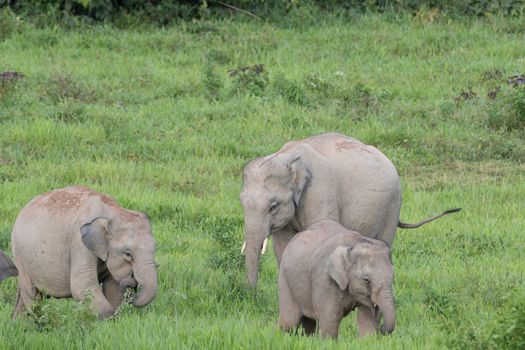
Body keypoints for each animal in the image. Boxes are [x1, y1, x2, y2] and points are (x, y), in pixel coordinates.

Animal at [8, 186, 157, 320]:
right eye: (128, 254)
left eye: (155, 249)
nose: (133, 281)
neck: (112, 211)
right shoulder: (79, 243)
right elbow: (82, 284)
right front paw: (106, 320)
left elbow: (113, 286)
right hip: (20, 255)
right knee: (32, 294)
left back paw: (18, 324)